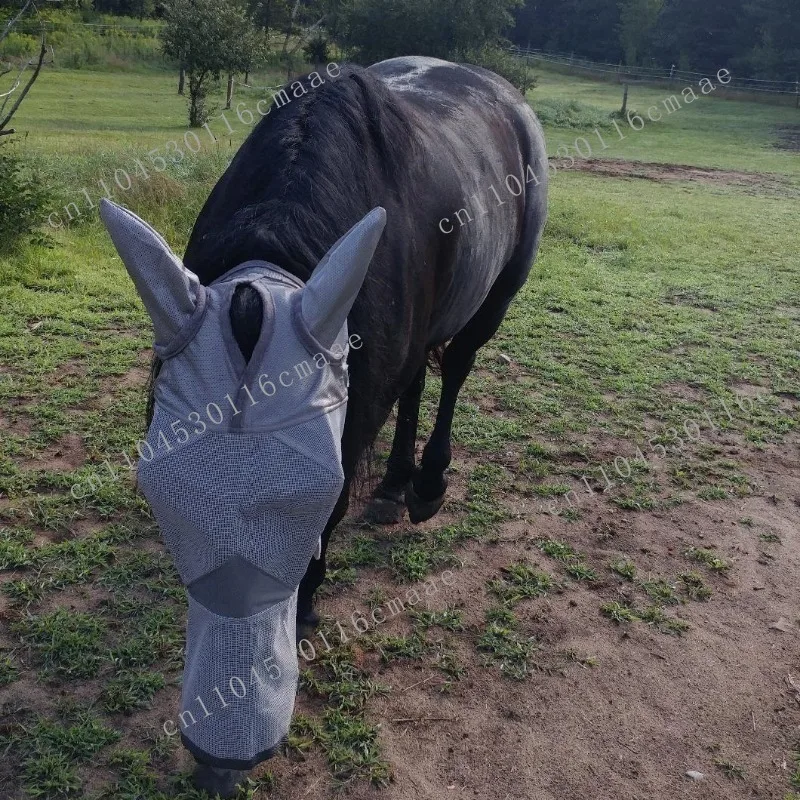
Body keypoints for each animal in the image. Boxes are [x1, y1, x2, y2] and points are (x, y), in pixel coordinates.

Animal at [100, 55, 547, 796]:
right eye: (161, 495)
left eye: (310, 498)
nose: (222, 758)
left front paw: (307, 602)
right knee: (418, 380)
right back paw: (393, 487)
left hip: (498, 297)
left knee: (455, 369)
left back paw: (426, 485)